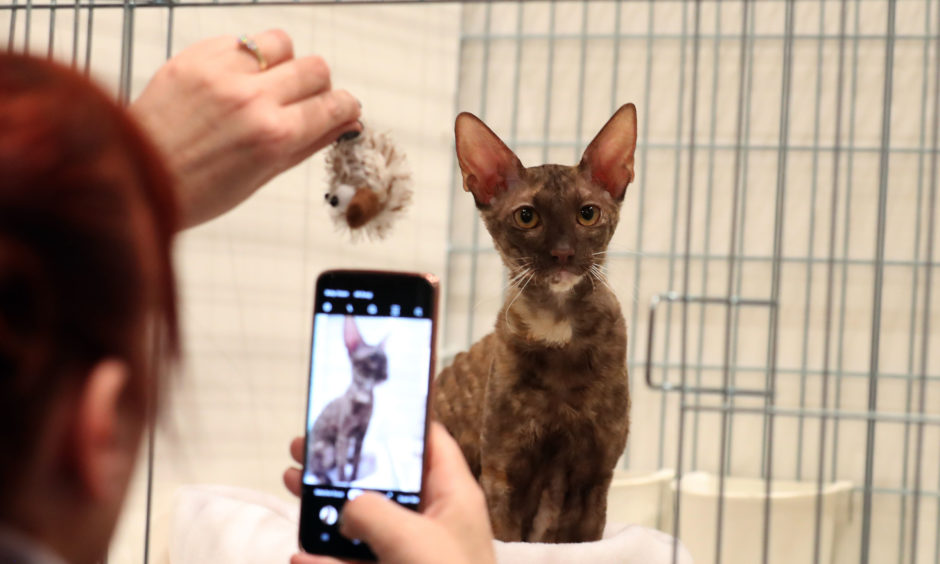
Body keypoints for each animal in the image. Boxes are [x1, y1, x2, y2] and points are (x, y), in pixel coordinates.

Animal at [308, 318, 390, 484]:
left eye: (386, 361)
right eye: (372, 359)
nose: (386, 375)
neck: (363, 395)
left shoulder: (361, 434)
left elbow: (356, 461)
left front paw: (353, 479)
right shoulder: (343, 435)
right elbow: (341, 466)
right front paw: (343, 481)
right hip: (327, 448)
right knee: (317, 468)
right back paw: (325, 478)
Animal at [434, 102, 640, 540]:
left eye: (587, 214)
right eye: (527, 217)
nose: (562, 253)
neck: (556, 323)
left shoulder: (596, 475)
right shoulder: (503, 470)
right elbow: (507, 539)